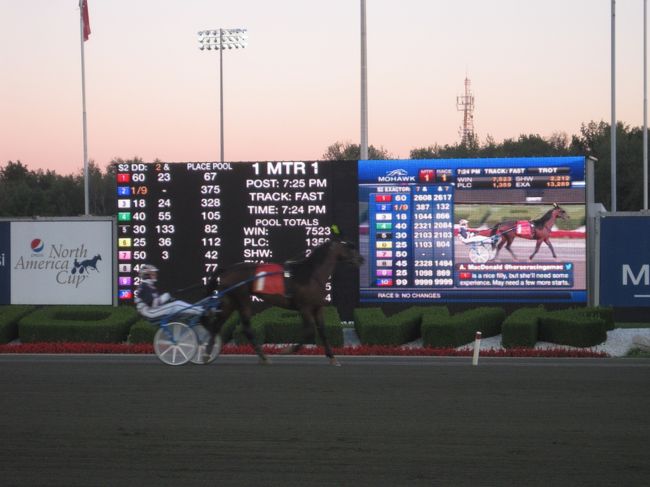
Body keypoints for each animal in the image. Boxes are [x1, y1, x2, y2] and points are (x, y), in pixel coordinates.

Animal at [201, 238, 362, 368]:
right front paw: (287, 349)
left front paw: (333, 358)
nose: (362, 259)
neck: (311, 274)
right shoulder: (304, 307)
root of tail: (227, 269)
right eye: (350, 248)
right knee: (245, 329)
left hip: (231, 301)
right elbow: (310, 331)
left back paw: (208, 355)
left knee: (217, 326)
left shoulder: (317, 307)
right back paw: (264, 357)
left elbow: (322, 331)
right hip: (242, 299)